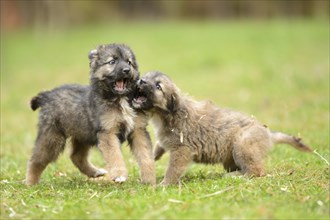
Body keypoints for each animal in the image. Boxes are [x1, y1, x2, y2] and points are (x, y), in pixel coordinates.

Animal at [25, 43, 155, 185]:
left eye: (129, 62)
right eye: (112, 61)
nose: (127, 70)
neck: (120, 99)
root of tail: (46, 96)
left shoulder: (138, 130)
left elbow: (145, 156)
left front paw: (149, 179)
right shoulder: (107, 132)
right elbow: (115, 155)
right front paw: (120, 175)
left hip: (82, 134)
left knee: (76, 156)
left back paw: (95, 172)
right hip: (52, 137)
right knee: (36, 159)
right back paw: (30, 182)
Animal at [132, 71, 312, 185]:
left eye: (158, 86)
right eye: (145, 77)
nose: (141, 81)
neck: (166, 115)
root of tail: (268, 133)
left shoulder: (182, 151)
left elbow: (173, 170)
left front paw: (164, 184)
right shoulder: (166, 141)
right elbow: (158, 147)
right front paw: (152, 157)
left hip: (243, 146)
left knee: (257, 171)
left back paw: (235, 177)